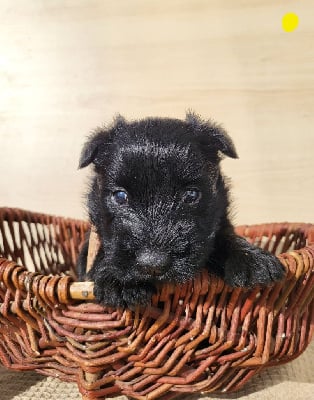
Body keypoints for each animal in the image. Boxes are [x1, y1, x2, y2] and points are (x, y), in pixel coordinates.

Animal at [77, 112, 286, 306]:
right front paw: (118, 281)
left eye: (191, 195)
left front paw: (251, 259)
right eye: (120, 196)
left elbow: (224, 235)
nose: (153, 264)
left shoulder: (218, 220)